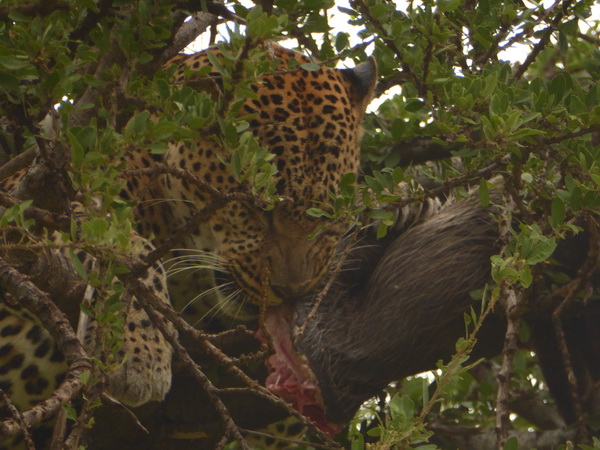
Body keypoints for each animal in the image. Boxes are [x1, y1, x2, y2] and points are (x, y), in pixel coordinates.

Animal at [0, 42, 376, 446]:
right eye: (257, 206)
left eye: (330, 214)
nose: (290, 291)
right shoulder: (34, 209)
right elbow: (124, 249)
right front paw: (140, 353)